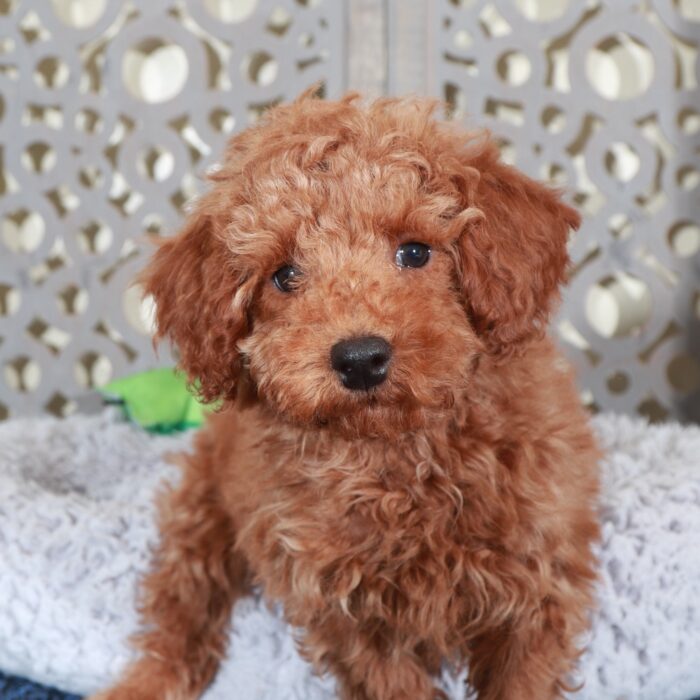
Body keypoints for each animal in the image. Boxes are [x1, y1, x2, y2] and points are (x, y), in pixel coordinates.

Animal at [90, 93, 600, 700]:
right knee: (180, 609)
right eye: (284, 275)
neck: (399, 454)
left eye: (415, 252)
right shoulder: (346, 610)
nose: (359, 359)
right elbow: (391, 682)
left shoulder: (537, 582)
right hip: (199, 513)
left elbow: (524, 677)